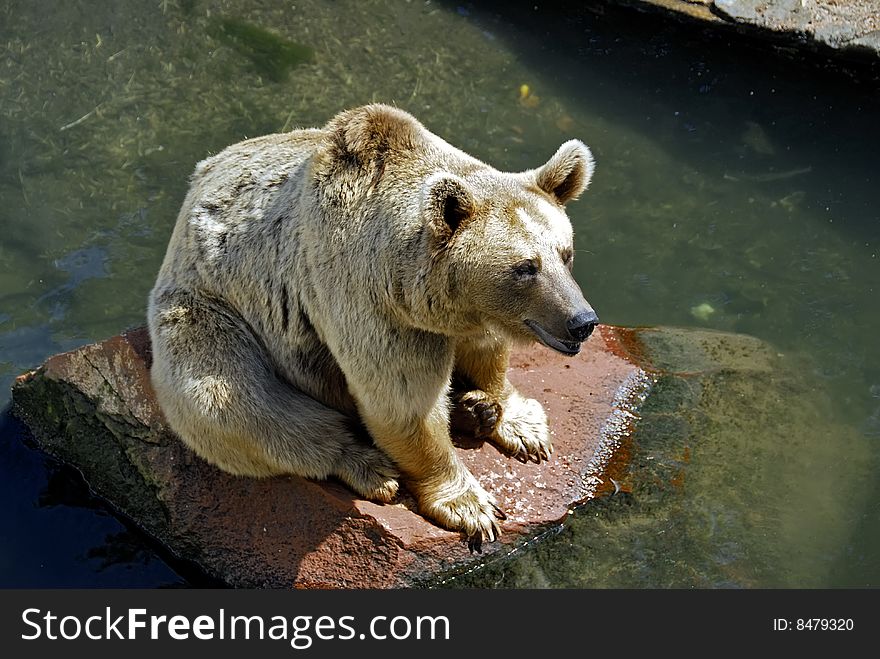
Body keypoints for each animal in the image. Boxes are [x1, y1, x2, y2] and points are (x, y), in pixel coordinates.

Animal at [148, 105, 600, 552]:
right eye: (525, 267)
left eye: (565, 254)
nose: (582, 322)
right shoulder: (370, 303)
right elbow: (402, 406)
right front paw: (473, 507)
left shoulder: (465, 313)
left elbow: (486, 352)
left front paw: (520, 424)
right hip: (206, 313)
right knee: (233, 401)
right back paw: (369, 466)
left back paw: (474, 412)